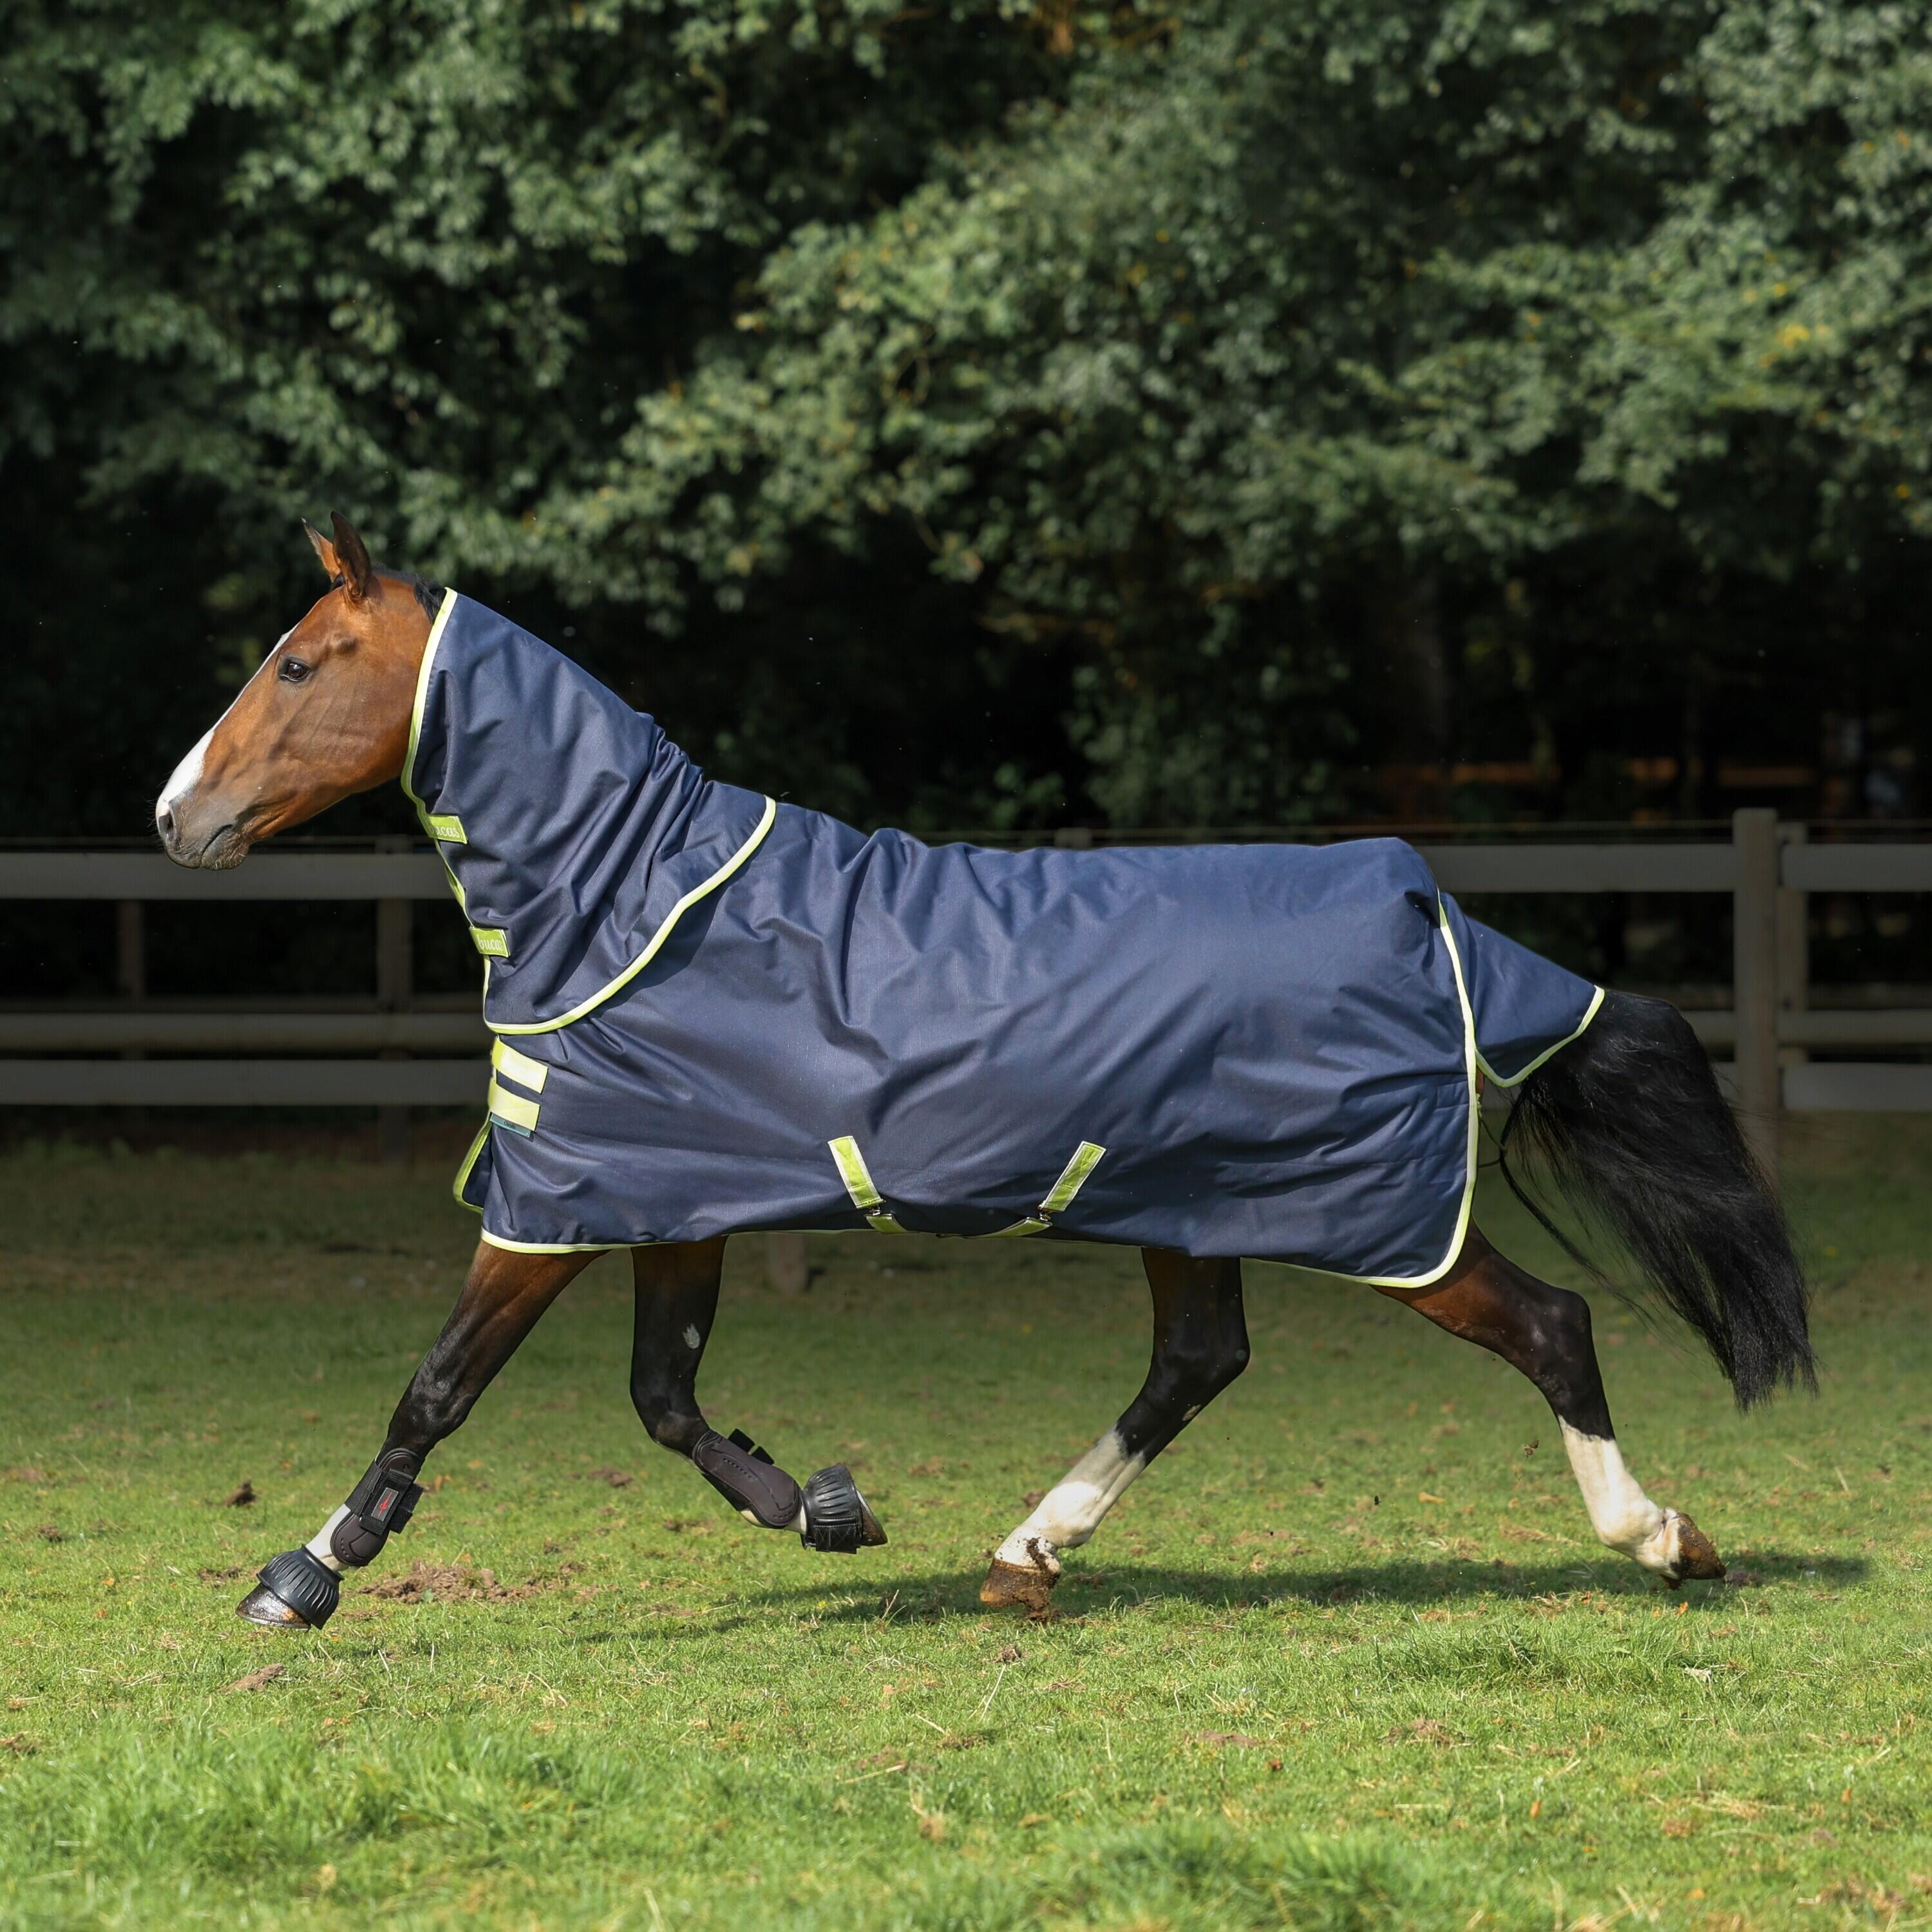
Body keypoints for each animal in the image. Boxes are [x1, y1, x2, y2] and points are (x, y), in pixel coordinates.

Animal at [155, 515, 1813, 1630]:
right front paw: (818, 1507)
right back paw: (1025, 1554)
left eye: (298, 661)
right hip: (1190, 1209)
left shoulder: (555, 1207)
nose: (177, 814)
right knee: (1196, 1364)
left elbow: (438, 1389)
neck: (627, 897)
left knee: (1548, 1326)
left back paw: (1664, 1539)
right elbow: (662, 1400)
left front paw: (306, 1570)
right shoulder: (671, 1199)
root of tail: (1424, 903)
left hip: (1380, 1223)